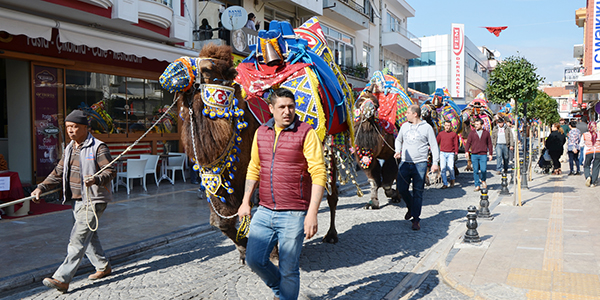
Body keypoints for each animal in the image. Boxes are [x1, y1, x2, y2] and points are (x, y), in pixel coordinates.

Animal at [356, 72, 412, 210]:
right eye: (359, 103)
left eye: (376, 105)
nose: (368, 109)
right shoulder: (369, 157)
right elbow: (374, 181)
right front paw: (372, 203)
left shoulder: (392, 154)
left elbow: (387, 182)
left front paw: (394, 195)